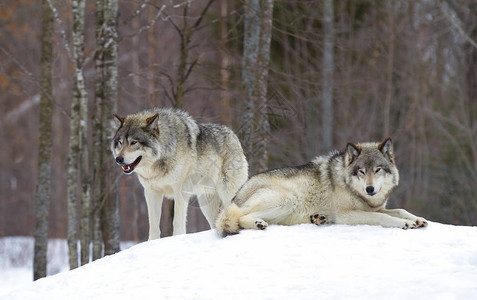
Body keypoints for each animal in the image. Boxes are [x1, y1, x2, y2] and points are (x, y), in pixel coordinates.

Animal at [110, 108, 247, 239]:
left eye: (134, 142)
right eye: (120, 142)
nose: (118, 159)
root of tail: (234, 136)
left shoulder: (181, 190)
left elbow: (177, 221)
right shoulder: (151, 192)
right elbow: (153, 226)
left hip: (227, 193)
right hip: (205, 202)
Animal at [216, 137, 428, 237]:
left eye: (377, 170)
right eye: (361, 171)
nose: (370, 189)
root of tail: (236, 195)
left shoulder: (376, 207)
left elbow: (400, 210)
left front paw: (417, 219)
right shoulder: (348, 215)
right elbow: (383, 217)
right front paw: (405, 224)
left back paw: (318, 218)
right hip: (287, 200)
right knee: (240, 218)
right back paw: (258, 223)